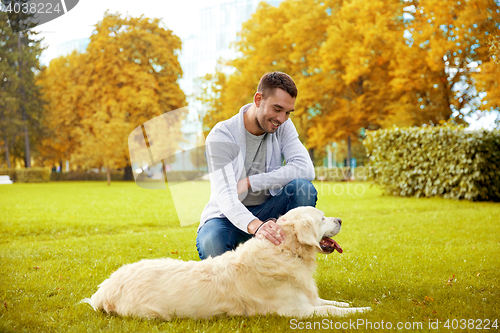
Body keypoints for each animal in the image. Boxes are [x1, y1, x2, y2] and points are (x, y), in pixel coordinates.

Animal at [83, 206, 372, 318]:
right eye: (322, 218)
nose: (340, 219)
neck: (285, 253)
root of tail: (104, 288)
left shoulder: (307, 299)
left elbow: (329, 302)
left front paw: (349, 303)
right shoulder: (295, 311)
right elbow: (331, 310)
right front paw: (364, 310)